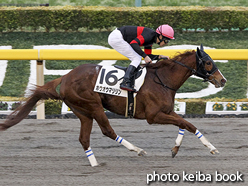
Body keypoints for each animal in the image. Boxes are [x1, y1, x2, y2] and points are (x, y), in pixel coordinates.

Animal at [0, 44, 227, 166]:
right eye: (208, 62)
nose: (222, 80)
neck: (163, 78)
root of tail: (64, 77)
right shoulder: (153, 116)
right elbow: (189, 125)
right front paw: (212, 148)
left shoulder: (167, 111)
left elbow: (183, 124)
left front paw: (175, 149)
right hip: (93, 105)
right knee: (107, 131)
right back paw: (137, 150)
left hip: (82, 111)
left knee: (84, 138)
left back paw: (94, 163)